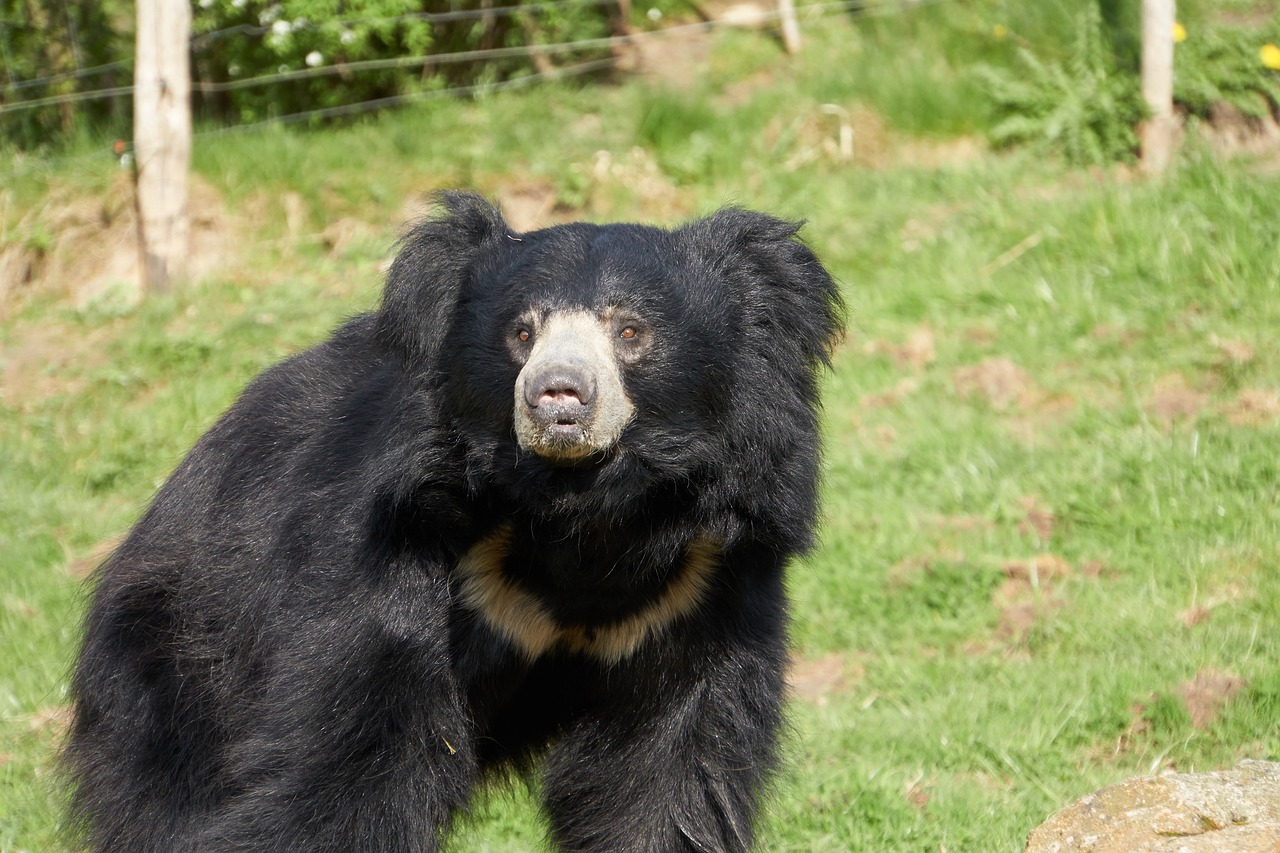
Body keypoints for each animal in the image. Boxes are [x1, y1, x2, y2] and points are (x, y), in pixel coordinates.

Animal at [72, 194, 849, 850]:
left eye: (630, 330)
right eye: (522, 331)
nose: (557, 397)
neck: (583, 512)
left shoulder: (697, 589)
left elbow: (665, 781)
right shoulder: (391, 558)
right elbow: (344, 770)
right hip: (176, 668)